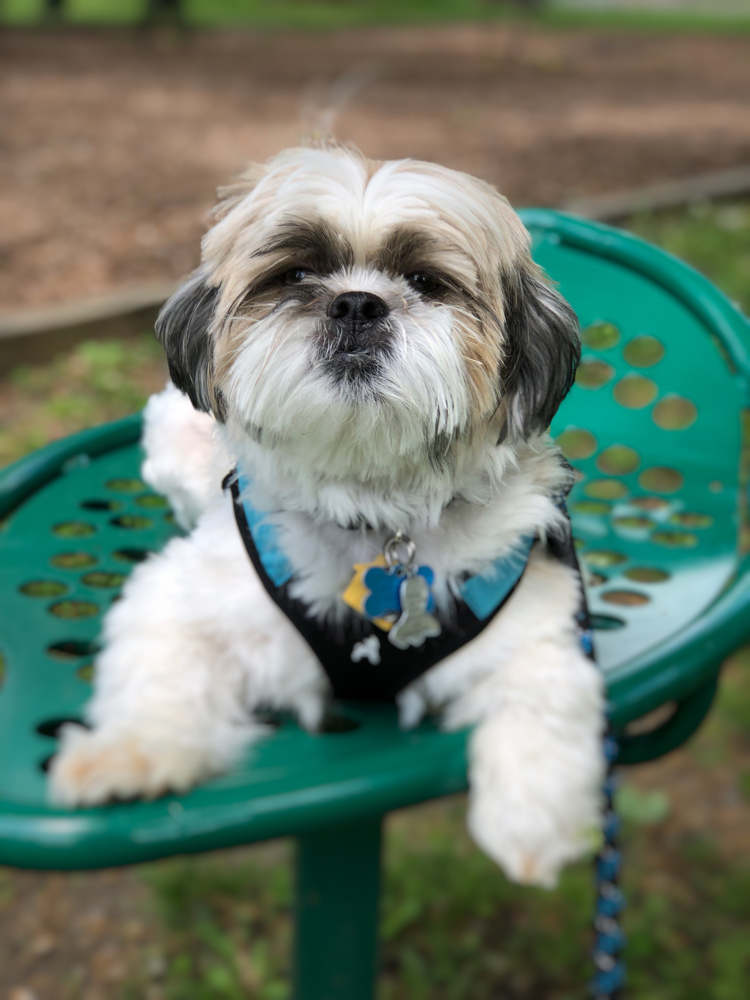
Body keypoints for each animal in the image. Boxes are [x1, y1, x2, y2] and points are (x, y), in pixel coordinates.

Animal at [51, 145, 604, 888]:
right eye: (297, 274)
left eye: (425, 281)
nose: (357, 302)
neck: (373, 517)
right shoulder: (181, 602)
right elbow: (160, 681)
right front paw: (124, 753)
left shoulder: (534, 620)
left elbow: (543, 696)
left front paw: (530, 824)